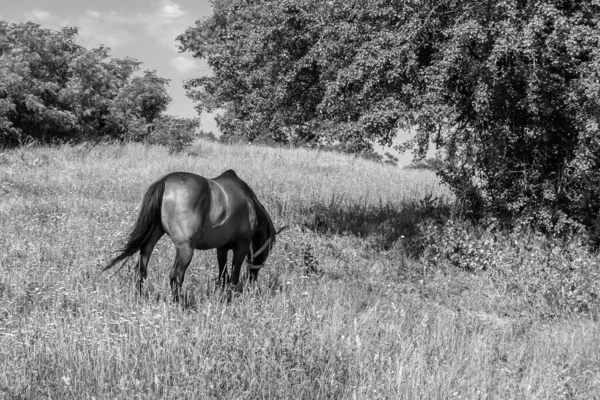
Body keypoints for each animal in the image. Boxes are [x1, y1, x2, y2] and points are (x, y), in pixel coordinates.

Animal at [104, 169, 284, 300]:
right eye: (268, 248)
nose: (253, 277)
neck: (249, 202)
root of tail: (165, 182)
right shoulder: (242, 246)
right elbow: (233, 277)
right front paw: (230, 298)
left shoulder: (222, 248)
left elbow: (223, 275)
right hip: (186, 249)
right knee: (176, 275)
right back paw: (179, 304)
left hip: (151, 240)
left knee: (141, 270)